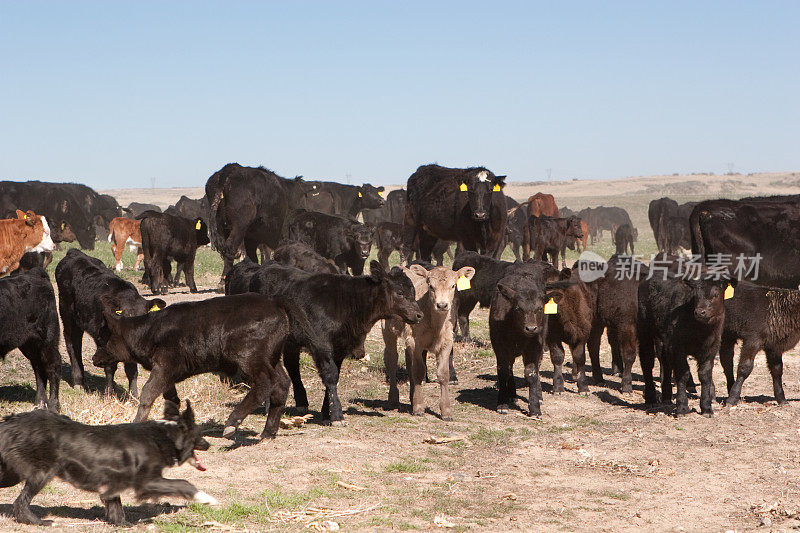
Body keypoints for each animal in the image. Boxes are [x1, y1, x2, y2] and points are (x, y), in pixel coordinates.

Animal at [0, 270, 59, 412]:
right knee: (39, 369)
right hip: (30, 344)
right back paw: (40, 403)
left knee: (53, 366)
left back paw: (53, 405)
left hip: (47, 338)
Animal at [0, 402, 217, 520]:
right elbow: (184, 483)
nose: (209, 444)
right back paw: (39, 522)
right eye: (199, 434)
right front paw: (206, 499)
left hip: (12, 473)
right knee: (21, 502)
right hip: (40, 473)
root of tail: (11, 422)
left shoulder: (114, 481)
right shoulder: (147, 482)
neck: (164, 435)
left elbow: (115, 506)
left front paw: (121, 524)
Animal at [54, 248, 166, 394]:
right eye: (124, 315)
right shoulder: (103, 338)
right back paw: (78, 382)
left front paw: (134, 394)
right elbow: (110, 367)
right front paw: (109, 393)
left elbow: (132, 369)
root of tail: (75, 253)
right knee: (73, 344)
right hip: (67, 314)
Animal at [225, 260, 422, 422]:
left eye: (413, 292)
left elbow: (334, 375)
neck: (347, 303)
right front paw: (336, 414)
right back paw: (268, 405)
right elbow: (330, 375)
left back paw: (301, 402)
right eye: (400, 292)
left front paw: (326, 412)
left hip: (291, 341)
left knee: (292, 365)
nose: (419, 315)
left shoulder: (340, 347)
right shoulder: (321, 344)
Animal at [382, 264, 472, 418]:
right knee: (392, 360)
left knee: (408, 361)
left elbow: (443, 374)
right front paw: (418, 407)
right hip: (387, 330)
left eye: (453, 285)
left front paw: (446, 411)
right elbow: (418, 371)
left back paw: (411, 397)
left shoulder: (447, 342)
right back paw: (393, 399)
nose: (442, 305)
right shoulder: (416, 342)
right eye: (430, 286)